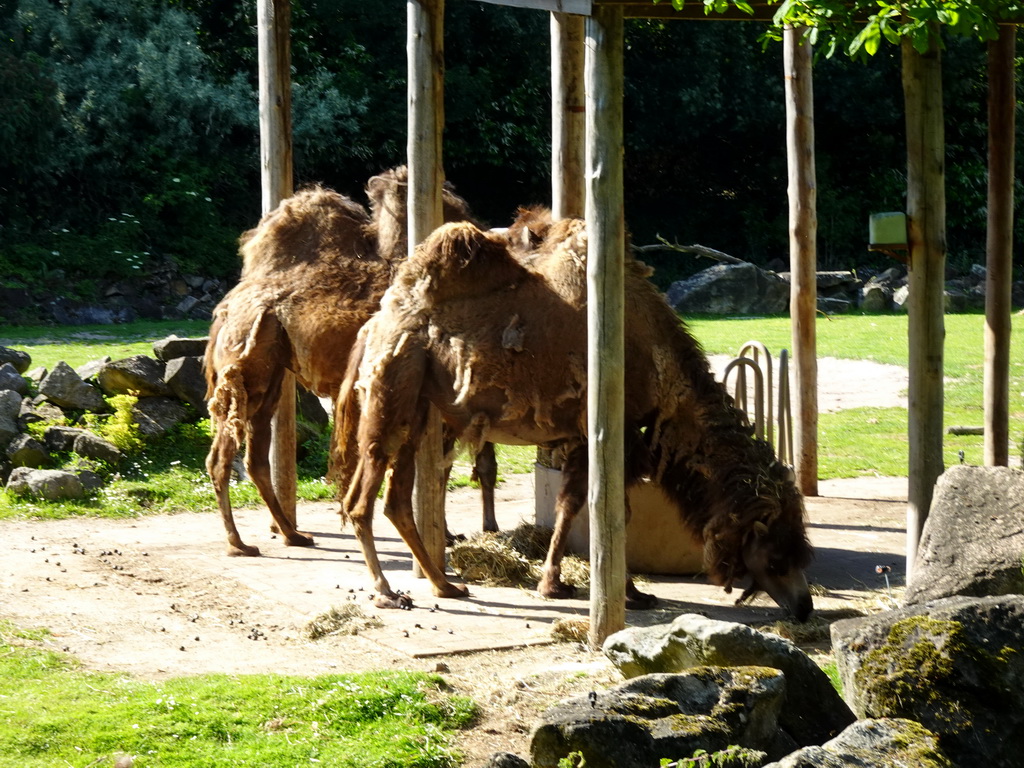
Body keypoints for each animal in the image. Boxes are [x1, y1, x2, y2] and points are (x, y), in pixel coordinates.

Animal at [203, 167, 495, 557]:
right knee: (222, 456)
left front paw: (452, 534)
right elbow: (441, 466)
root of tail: (226, 306)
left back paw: (293, 534)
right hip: (245, 361)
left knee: (256, 456)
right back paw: (239, 543)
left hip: (272, 368)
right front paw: (448, 536)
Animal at [335, 214, 815, 622]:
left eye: (799, 554)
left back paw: (445, 585)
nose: (804, 606)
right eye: (777, 558)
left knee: (396, 498)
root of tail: (375, 324)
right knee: (361, 497)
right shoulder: (612, 429)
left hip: (418, 404)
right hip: (393, 387)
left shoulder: (588, 436)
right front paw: (625, 593)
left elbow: (572, 504)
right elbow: (614, 511)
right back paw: (387, 592)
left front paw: (564, 584)